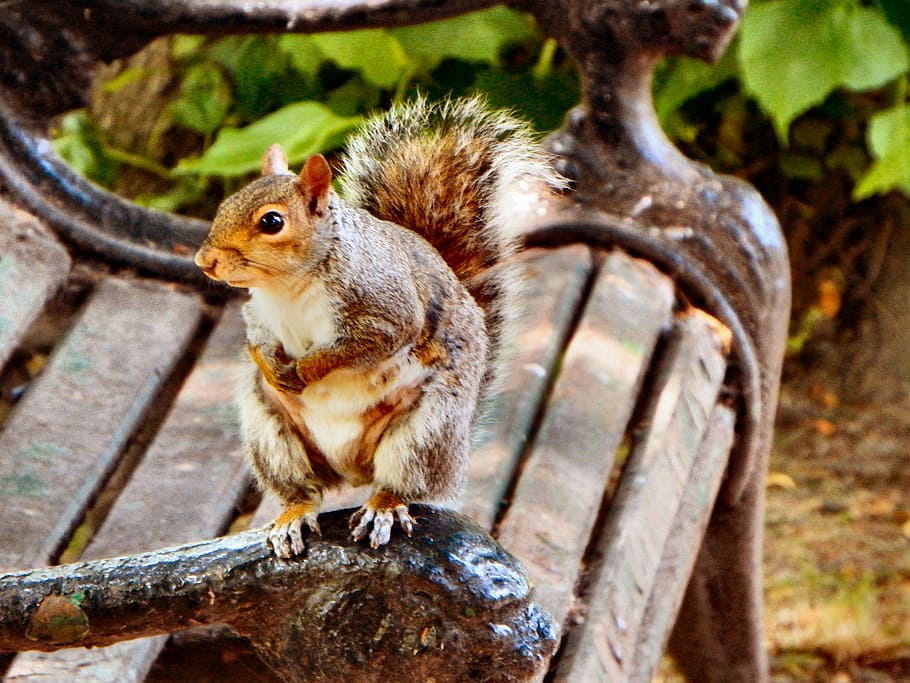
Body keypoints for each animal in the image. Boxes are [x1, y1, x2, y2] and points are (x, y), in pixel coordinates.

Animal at [194, 96, 565, 556]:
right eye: (224, 205)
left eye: (272, 222)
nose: (205, 261)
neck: (288, 286)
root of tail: (353, 470)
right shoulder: (259, 313)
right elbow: (258, 342)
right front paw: (276, 368)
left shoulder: (387, 307)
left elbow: (362, 346)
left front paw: (307, 370)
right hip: (273, 435)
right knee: (303, 490)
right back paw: (293, 515)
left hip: (425, 432)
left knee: (403, 484)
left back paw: (382, 507)